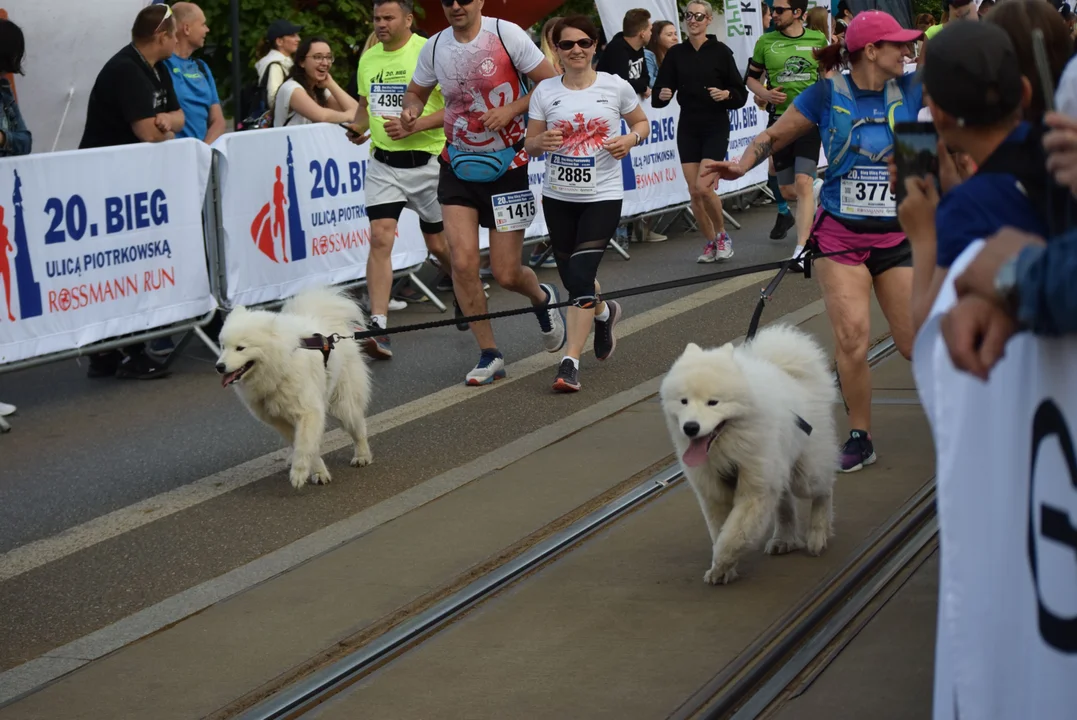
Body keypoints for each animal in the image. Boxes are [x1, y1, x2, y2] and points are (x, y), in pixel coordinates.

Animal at [214, 286, 374, 488]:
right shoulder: (280, 420)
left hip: (343, 405)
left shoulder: (308, 412)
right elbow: (303, 445)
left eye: (240, 348)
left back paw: (362, 456)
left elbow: (304, 445)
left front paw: (299, 473)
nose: (219, 366)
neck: (279, 369)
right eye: (222, 346)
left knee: (358, 428)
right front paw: (317, 472)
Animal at [654, 325, 840, 585]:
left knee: (824, 488)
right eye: (684, 401)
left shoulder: (754, 490)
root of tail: (791, 374)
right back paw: (784, 539)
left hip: (805, 474)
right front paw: (722, 571)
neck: (726, 449)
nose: (690, 427)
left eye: (713, 402)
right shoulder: (714, 493)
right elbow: (719, 530)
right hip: (779, 468)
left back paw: (817, 535)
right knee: (785, 502)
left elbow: (733, 535)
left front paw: (721, 563)